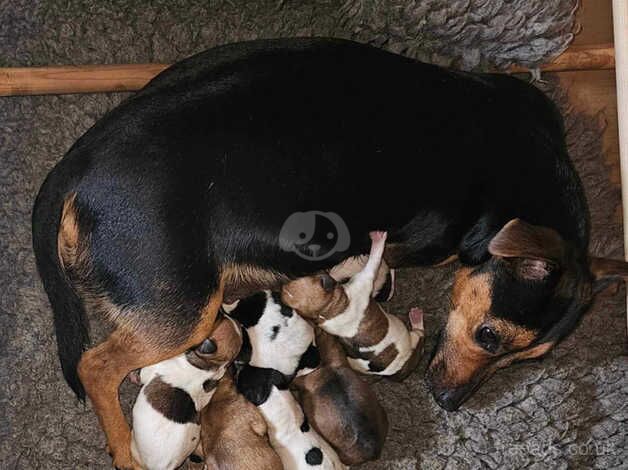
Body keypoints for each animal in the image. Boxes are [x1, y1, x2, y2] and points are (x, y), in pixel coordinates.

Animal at [284, 233, 426, 380]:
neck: (331, 309)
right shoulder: (365, 280)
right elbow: (374, 260)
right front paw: (378, 240)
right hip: (414, 338)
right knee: (420, 334)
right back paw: (416, 317)